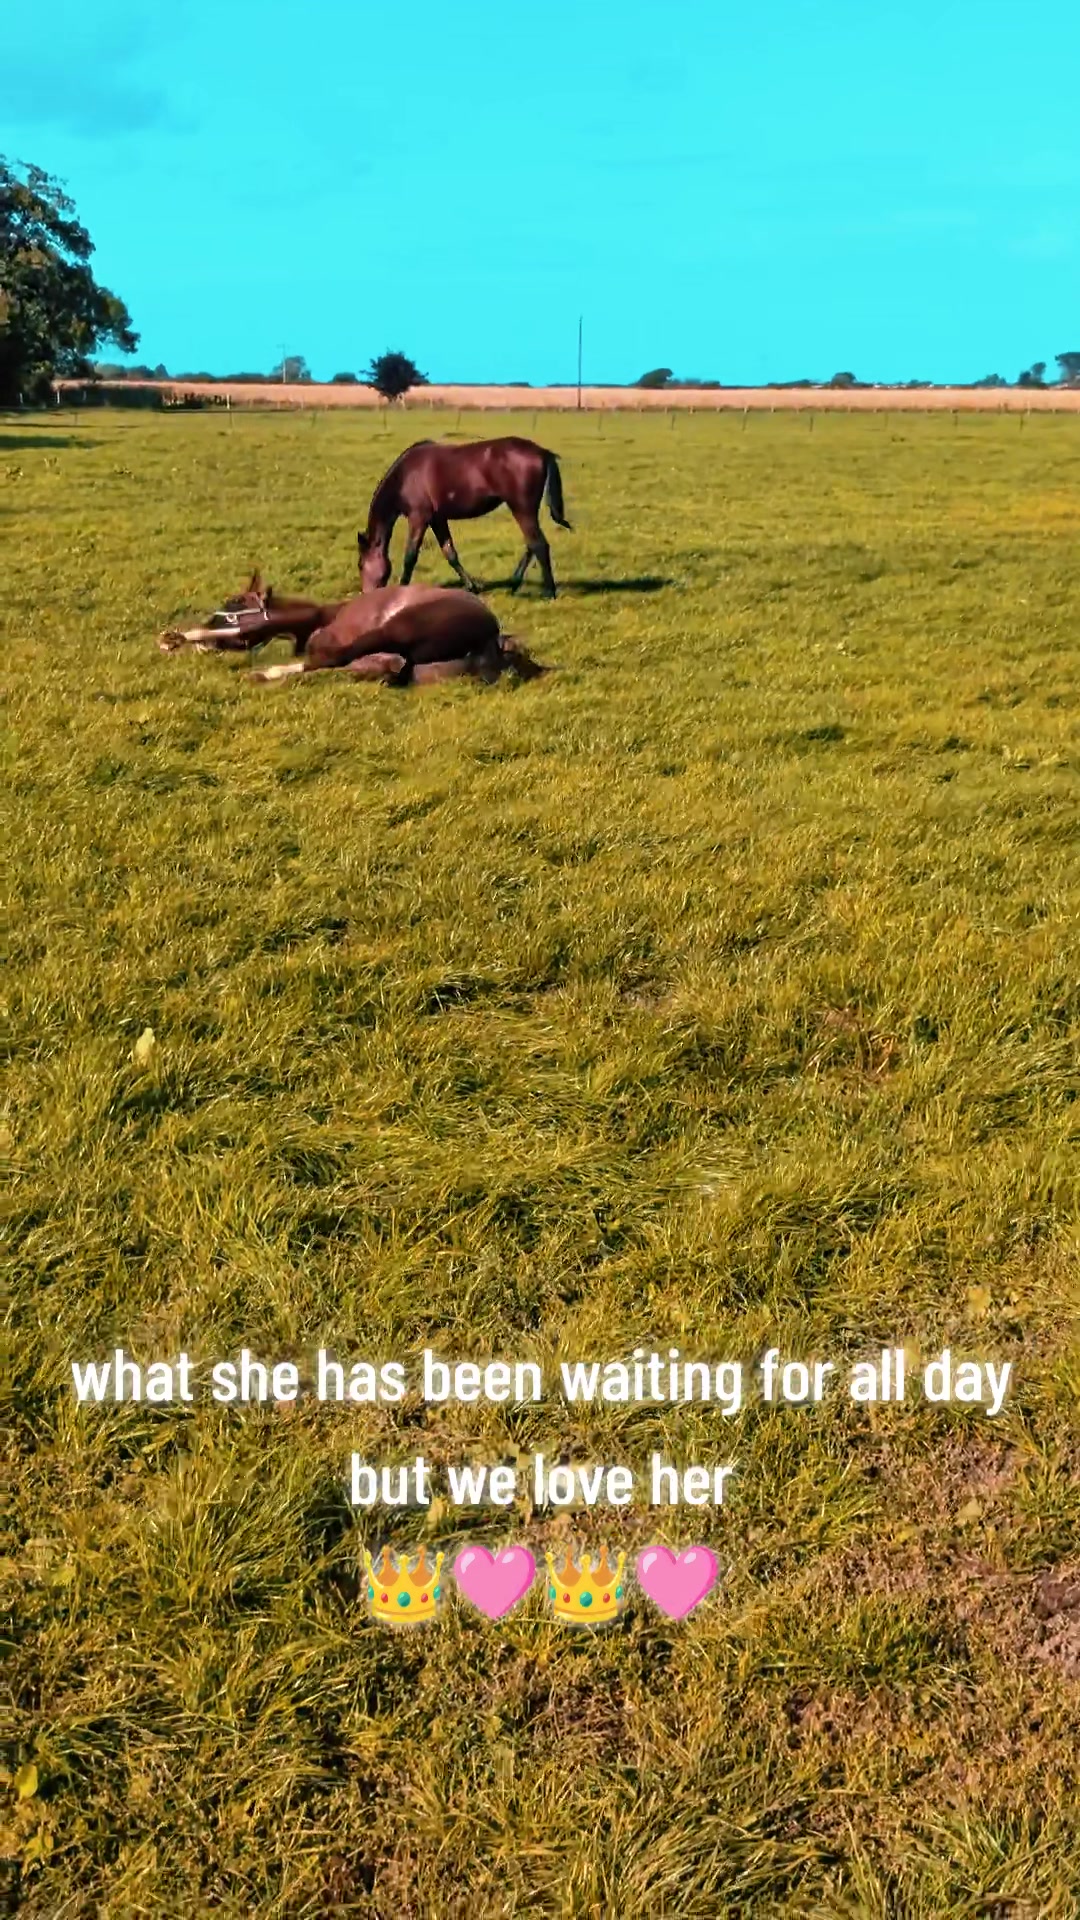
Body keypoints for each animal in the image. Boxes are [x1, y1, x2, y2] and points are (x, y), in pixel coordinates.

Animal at [357, 436, 572, 600]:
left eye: (360, 565)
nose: (366, 595)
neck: (406, 476)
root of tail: (543, 452)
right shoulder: (437, 519)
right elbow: (450, 553)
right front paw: (471, 586)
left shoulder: (419, 517)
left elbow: (410, 556)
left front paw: (403, 588)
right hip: (525, 510)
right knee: (532, 543)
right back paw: (514, 583)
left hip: (521, 508)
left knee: (538, 544)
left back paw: (548, 592)